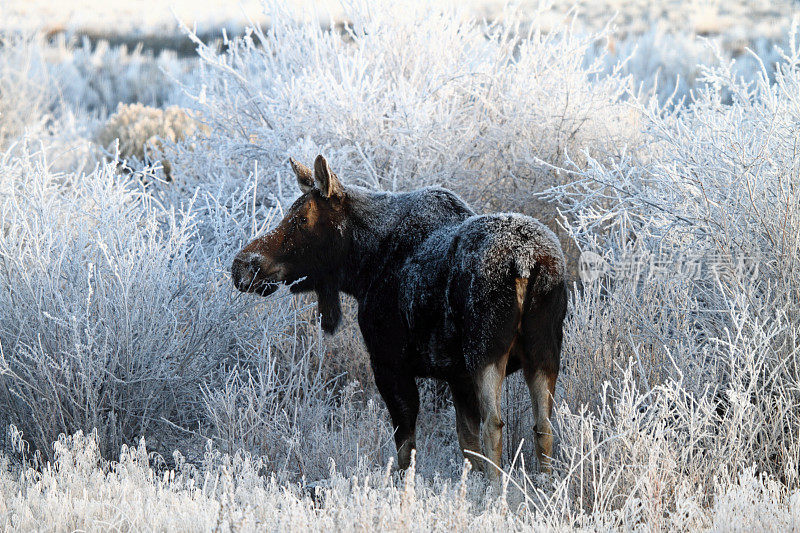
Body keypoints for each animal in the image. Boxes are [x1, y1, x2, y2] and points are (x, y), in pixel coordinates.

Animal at [231, 155, 568, 482]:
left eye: (301, 218)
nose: (242, 265)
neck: (361, 269)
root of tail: (526, 260)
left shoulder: (389, 363)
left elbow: (406, 449)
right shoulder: (456, 376)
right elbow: (466, 445)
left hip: (484, 352)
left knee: (494, 425)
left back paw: (497, 492)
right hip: (544, 352)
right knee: (543, 426)